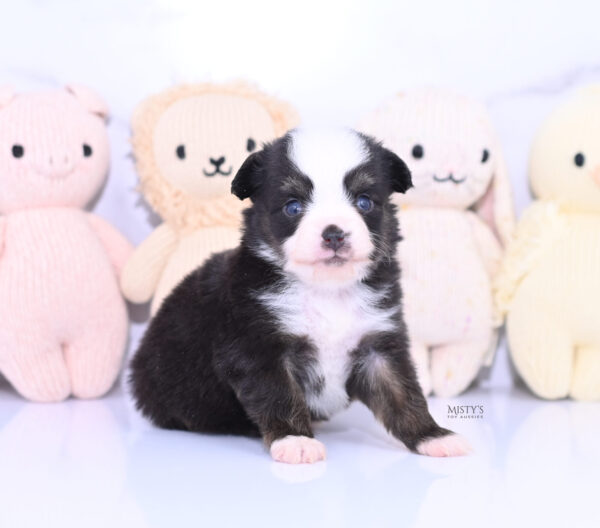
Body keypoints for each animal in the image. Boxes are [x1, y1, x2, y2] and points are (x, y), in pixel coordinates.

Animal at [130, 128, 468, 462]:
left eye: (364, 202)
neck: (327, 291)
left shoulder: (379, 347)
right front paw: (295, 440)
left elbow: (403, 394)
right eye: (293, 207)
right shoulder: (258, 349)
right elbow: (278, 395)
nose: (334, 233)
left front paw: (432, 436)